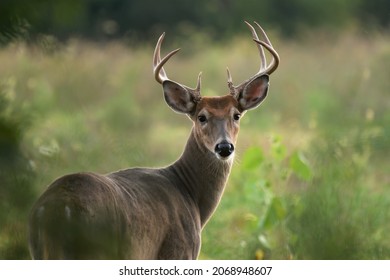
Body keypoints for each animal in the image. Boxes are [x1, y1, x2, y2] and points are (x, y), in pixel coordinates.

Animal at [29, 21, 278, 260]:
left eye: (236, 115)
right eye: (201, 117)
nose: (224, 147)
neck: (191, 196)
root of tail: (54, 209)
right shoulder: (178, 251)